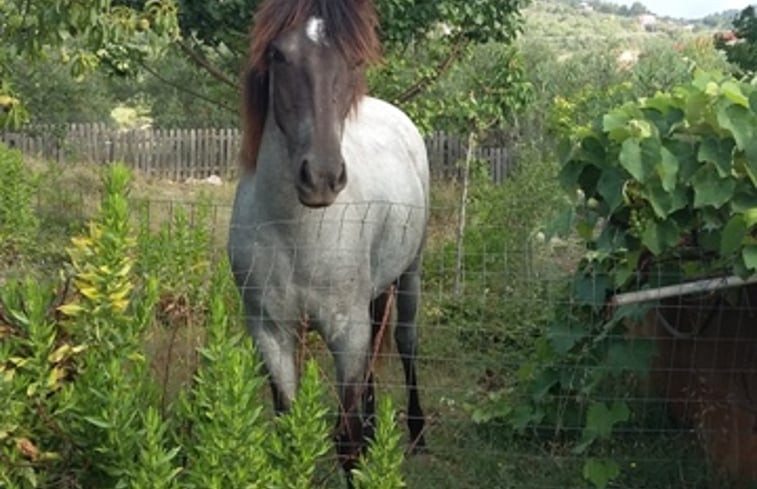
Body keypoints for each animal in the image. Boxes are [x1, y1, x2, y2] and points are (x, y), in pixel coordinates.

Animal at [224, 0, 428, 480]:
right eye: (278, 54)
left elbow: (345, 438)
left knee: (406, 344)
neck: (295, 232)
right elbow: (288, 432)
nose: (320, 177)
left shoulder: (345, 332)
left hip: (411, 274)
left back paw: (417, 430)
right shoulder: (270, 330)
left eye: (354, 60)